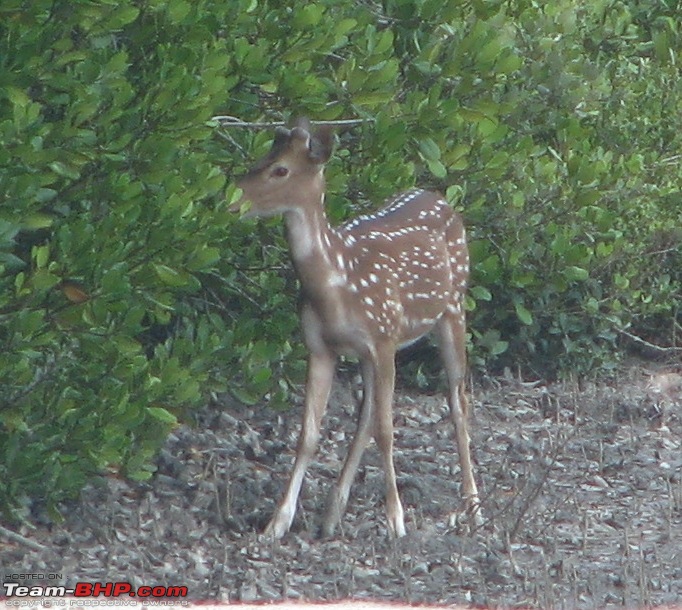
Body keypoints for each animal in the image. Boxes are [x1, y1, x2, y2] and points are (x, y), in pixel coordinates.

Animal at [232, 115, 478, 536]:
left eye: (280, 169)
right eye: (260, 157)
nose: (231, 198)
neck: (337, 281)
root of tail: (442, 198)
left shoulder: (385, 338)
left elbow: (387, 430)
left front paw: (396, 521)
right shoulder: (321, 347)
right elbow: (309, 434)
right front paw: (277, 522)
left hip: (452, 308)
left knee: (458, 401)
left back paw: (473, 506)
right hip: (371, 349)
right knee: (364, 418)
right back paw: (332, 514)